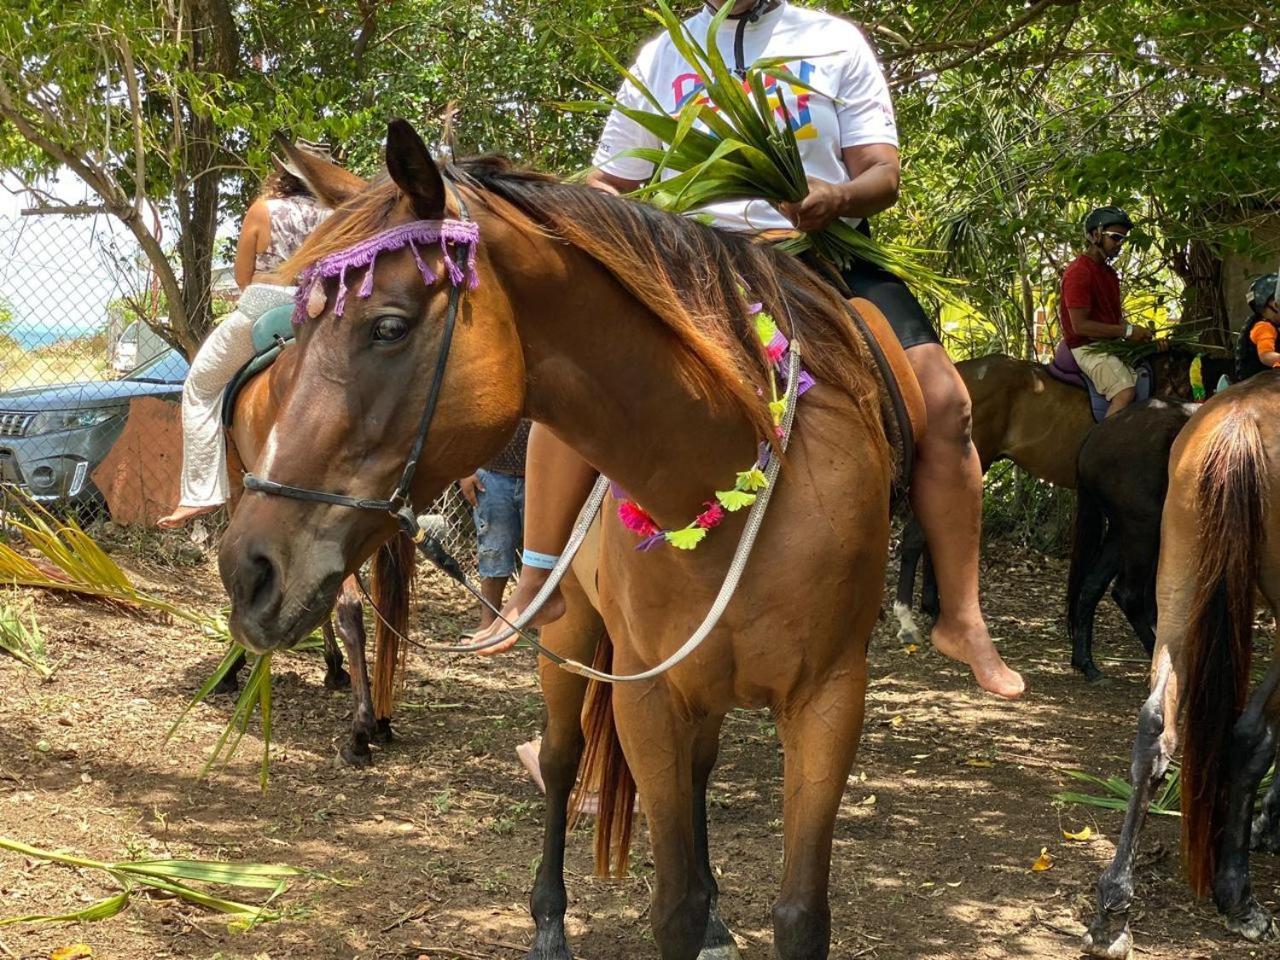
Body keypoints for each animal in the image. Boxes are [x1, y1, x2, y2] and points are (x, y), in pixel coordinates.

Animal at [215, 122, 926, 960]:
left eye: (387, 326)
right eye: (296, 330)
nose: (248, 571)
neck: (719, 470)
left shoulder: (830, 698)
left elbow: (800, 916)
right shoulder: (648, 695)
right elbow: (673, 907)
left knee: (696, 771)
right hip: (573, 634)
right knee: (560, 761)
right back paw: (550, 922)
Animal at [1085, 371, 1280, 957]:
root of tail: (1242, 416)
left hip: (1178, 581)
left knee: (1155, 727)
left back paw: (1113, 908)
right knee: (1251, 733)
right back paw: (1239, 898)